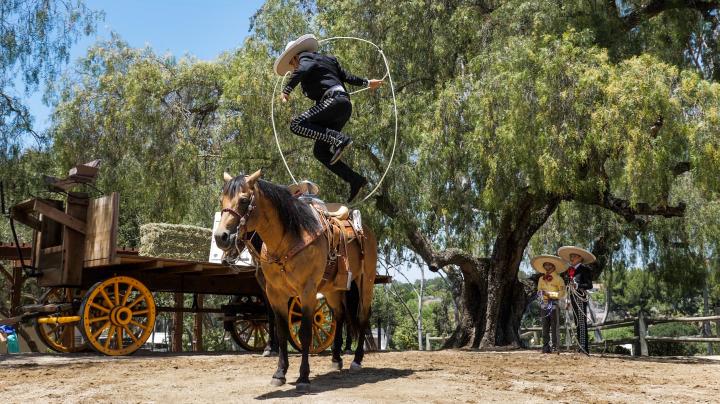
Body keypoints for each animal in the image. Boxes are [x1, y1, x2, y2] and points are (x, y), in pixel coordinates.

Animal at [212, 170, 376, 392]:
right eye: (222, 200)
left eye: (244, 200)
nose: (221, 237)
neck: (287, 240)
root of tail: (366, 230)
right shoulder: (275, 294)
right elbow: (281, 332)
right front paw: (279, 373)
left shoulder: (307, 292)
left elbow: (306, 333)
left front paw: (303, 377)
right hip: (333, 289)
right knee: (340, 315)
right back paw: (336, 359)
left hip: (365, 283)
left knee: (362, 316)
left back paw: (357, 360)